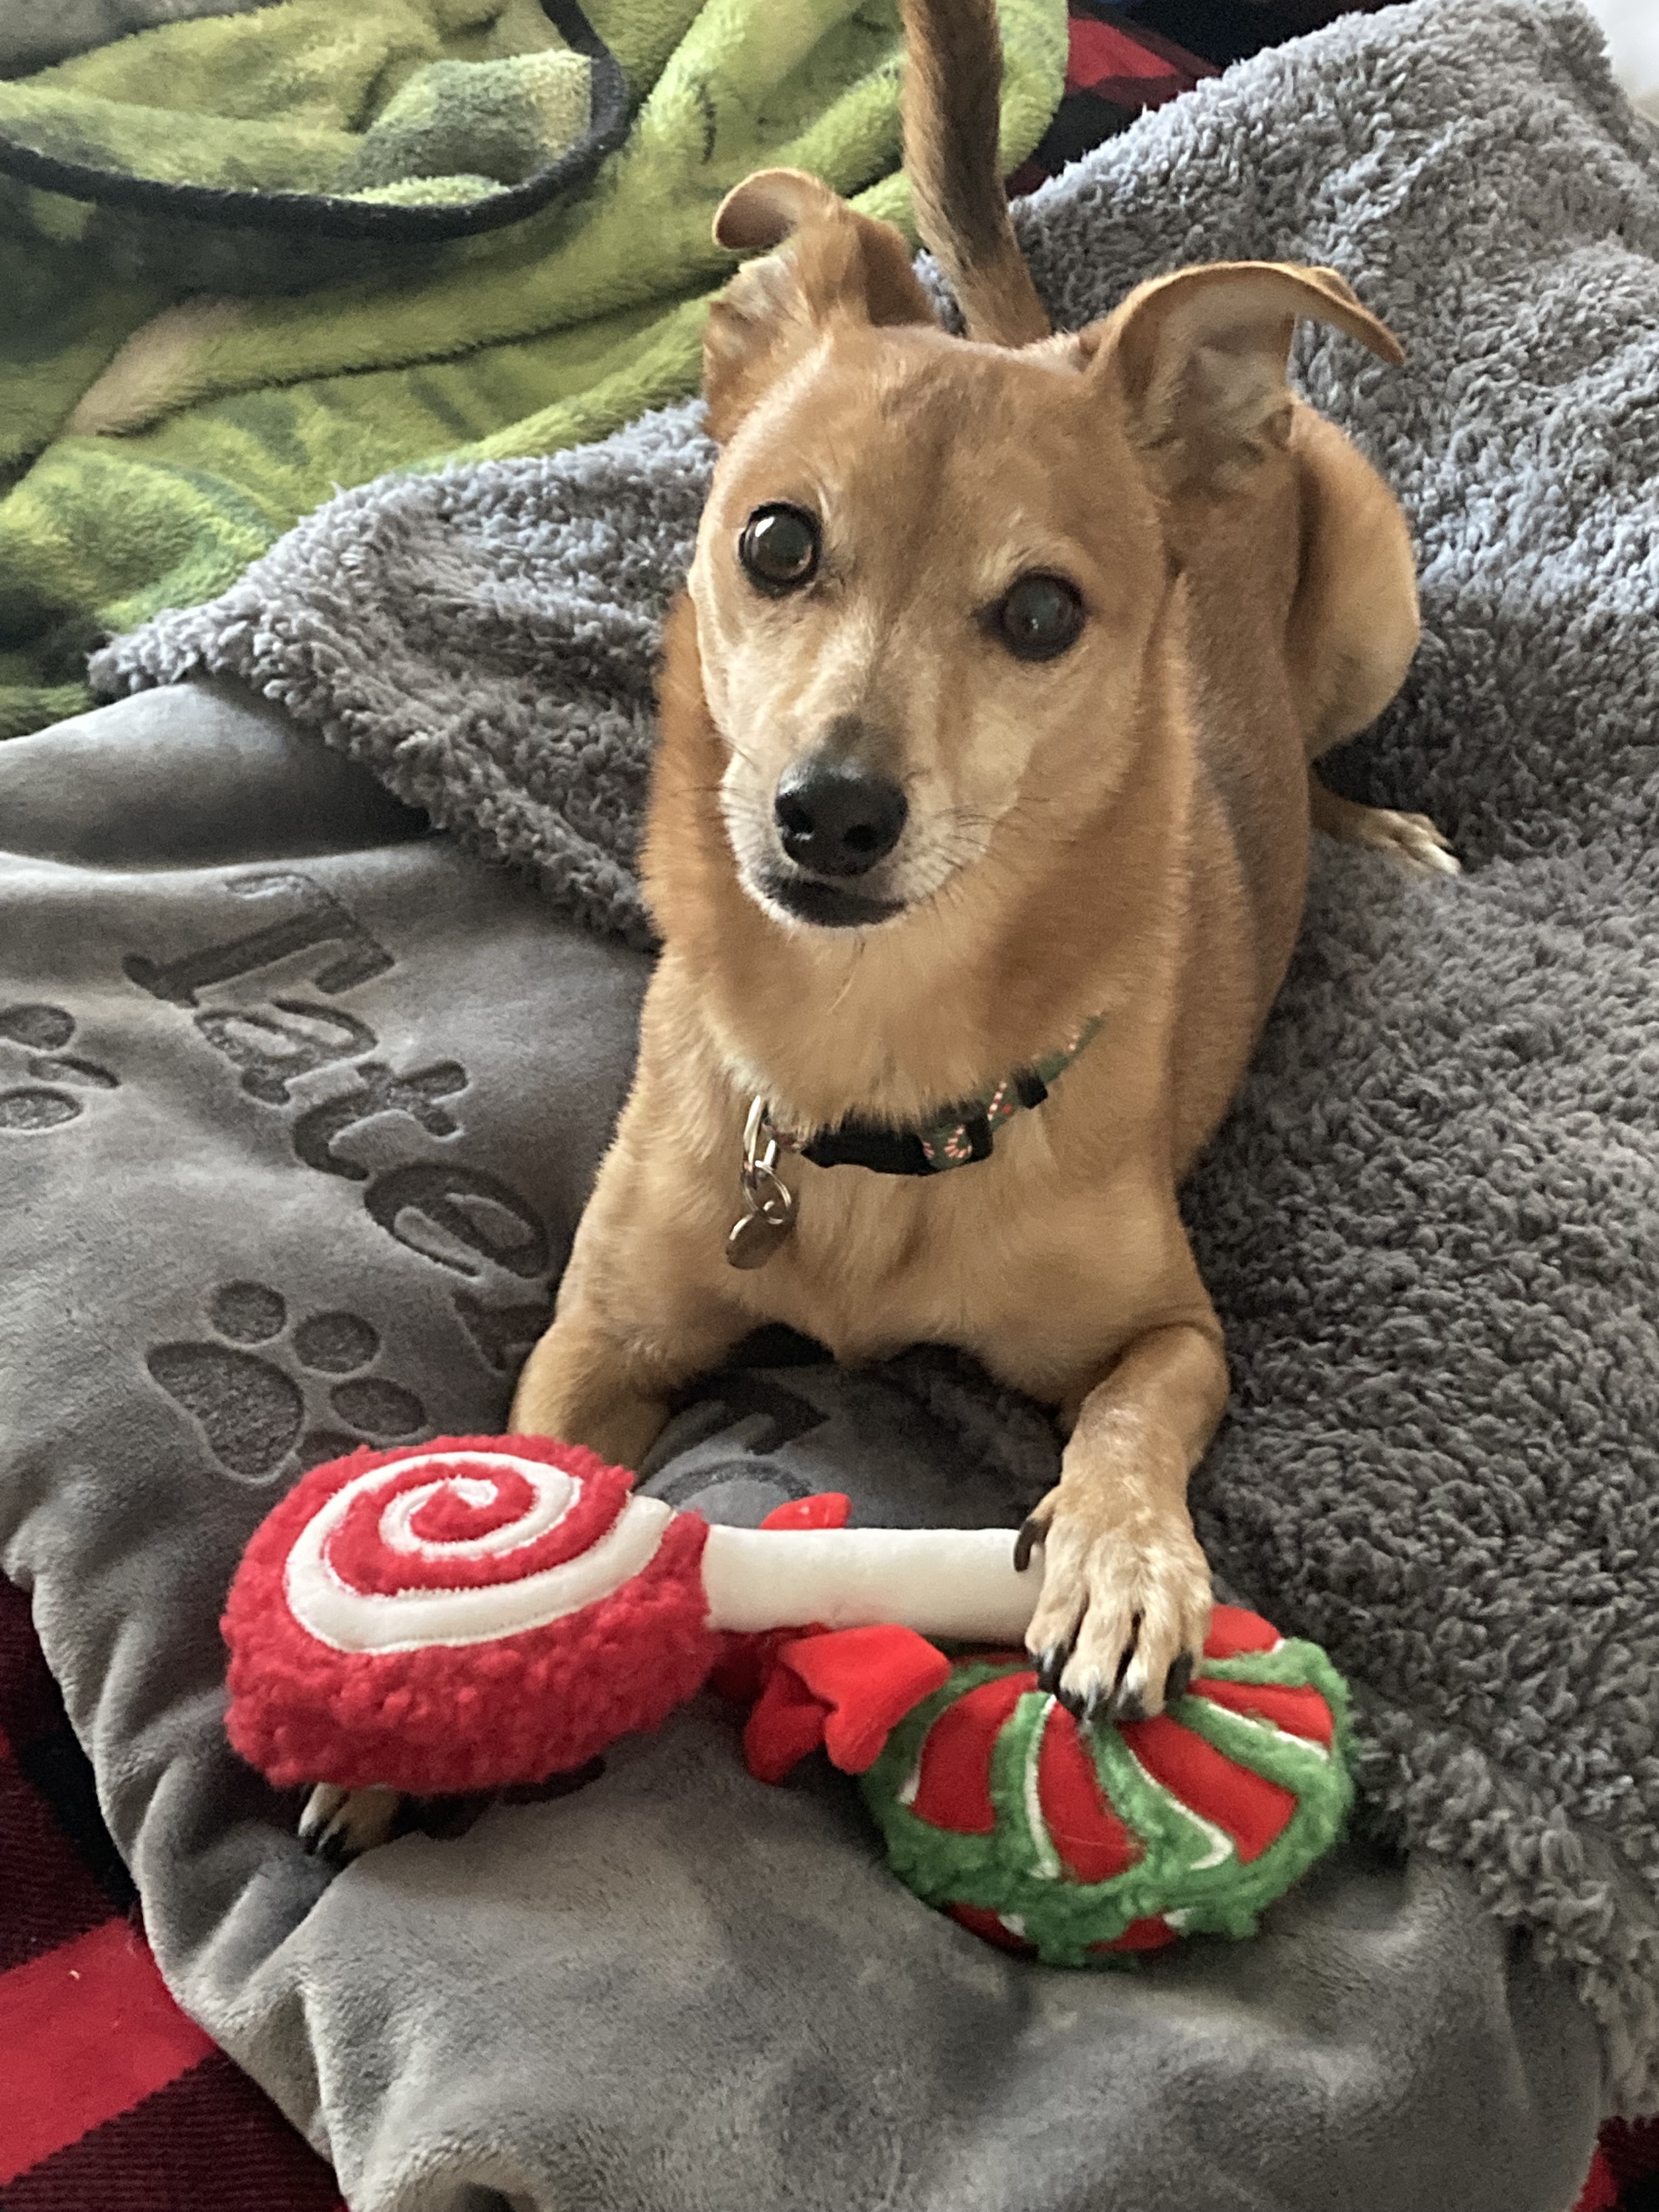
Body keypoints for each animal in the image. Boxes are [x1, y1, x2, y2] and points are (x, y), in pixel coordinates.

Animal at [309, 0, 1451, 1858]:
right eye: (776, 539)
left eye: (1045, 613)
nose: (829, 813)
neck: (868, 1041)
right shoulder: (602, 1334)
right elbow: (546, 1479)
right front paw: (416, 1684)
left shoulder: (1173, 1333)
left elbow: (1137, 1414)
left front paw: (1123, 1561)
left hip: (1376, 601)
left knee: (1328, 751)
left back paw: (1379, 831)